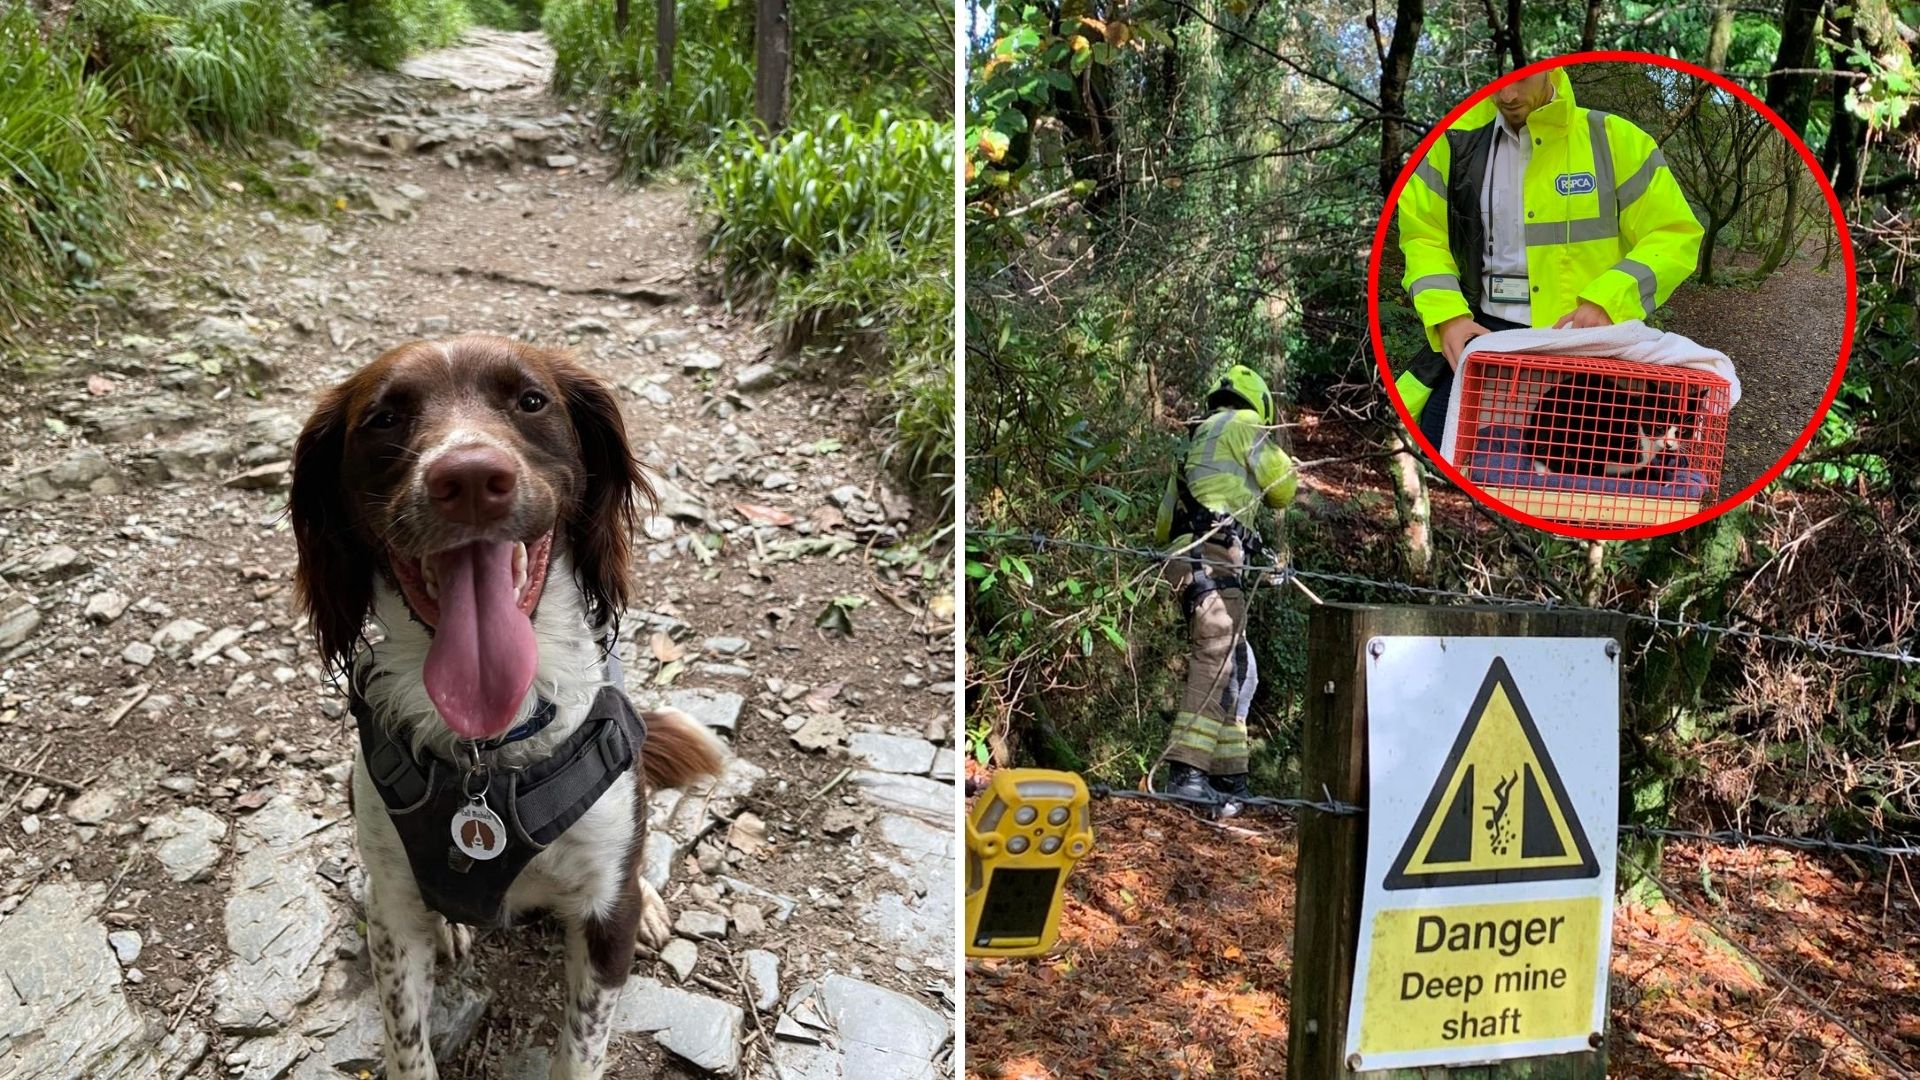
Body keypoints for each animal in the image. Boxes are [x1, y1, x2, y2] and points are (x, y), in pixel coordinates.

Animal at [286, 332, 725, 1068]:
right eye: (384, 418)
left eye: (531, 401)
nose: (467, 479)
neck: (485, 755)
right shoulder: (391, 914)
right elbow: (408, 1046)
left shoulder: (604, 919)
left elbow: (581, 1052)